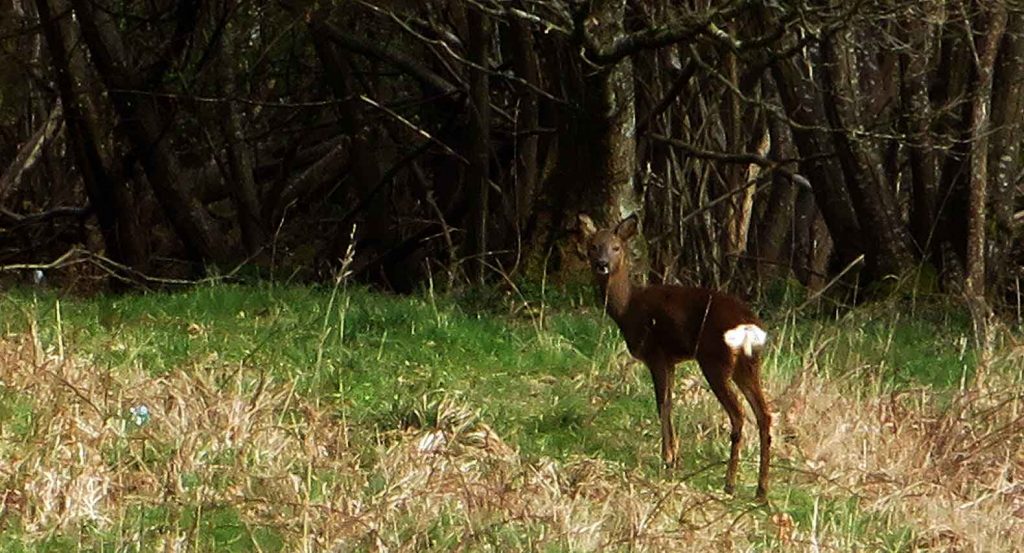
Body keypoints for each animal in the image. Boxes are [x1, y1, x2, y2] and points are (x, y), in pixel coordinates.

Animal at [577, 213, 772, 500]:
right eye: (593, 246)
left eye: (616, 247)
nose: (602, 265)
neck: (628, 309)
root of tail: (748, 327)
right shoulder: (670, 360)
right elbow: (669, 402)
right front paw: (674, 455)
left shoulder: (656, 353)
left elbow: (662, 404)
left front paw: (668, 457)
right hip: (748, 364)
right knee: (764, 414)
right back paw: (761, 489)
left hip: (715, 360)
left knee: (738, 415)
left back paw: (730, 483)